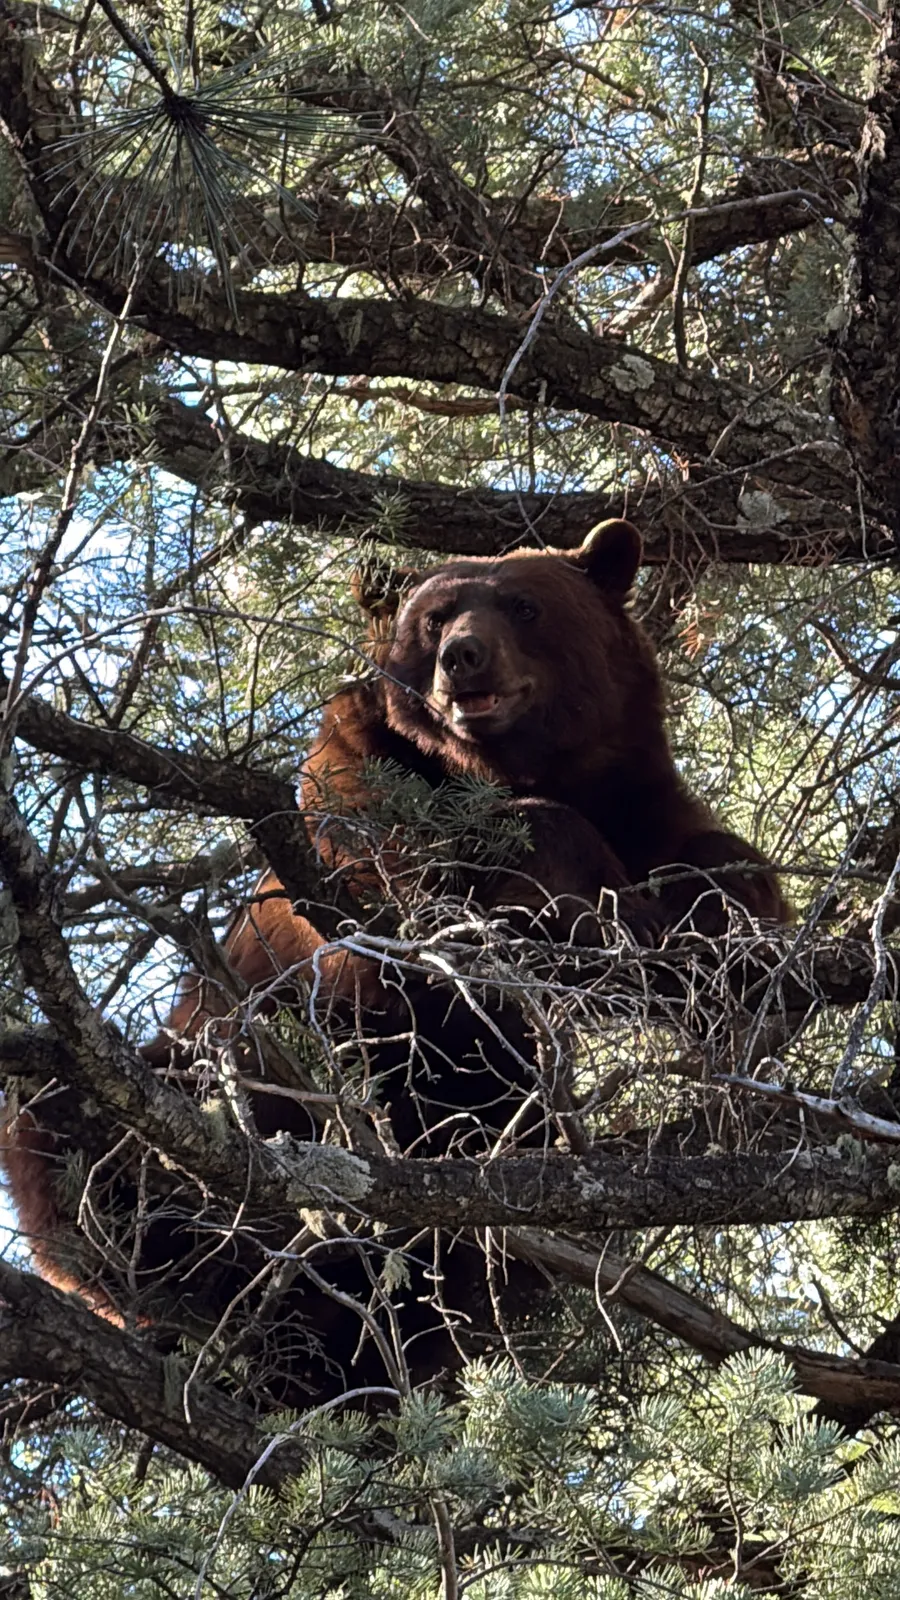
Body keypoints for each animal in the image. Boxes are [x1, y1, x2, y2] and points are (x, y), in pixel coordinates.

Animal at [1, 519, 788, 1406]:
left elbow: (715, 861)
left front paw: (727, 916)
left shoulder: (637, 790)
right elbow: (435, 865)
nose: (463, 657)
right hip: (209, 1089)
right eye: (435, 616)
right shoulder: (360, 791)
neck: (509, 768)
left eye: (524, 605)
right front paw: (593, 898)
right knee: (63, 1124)